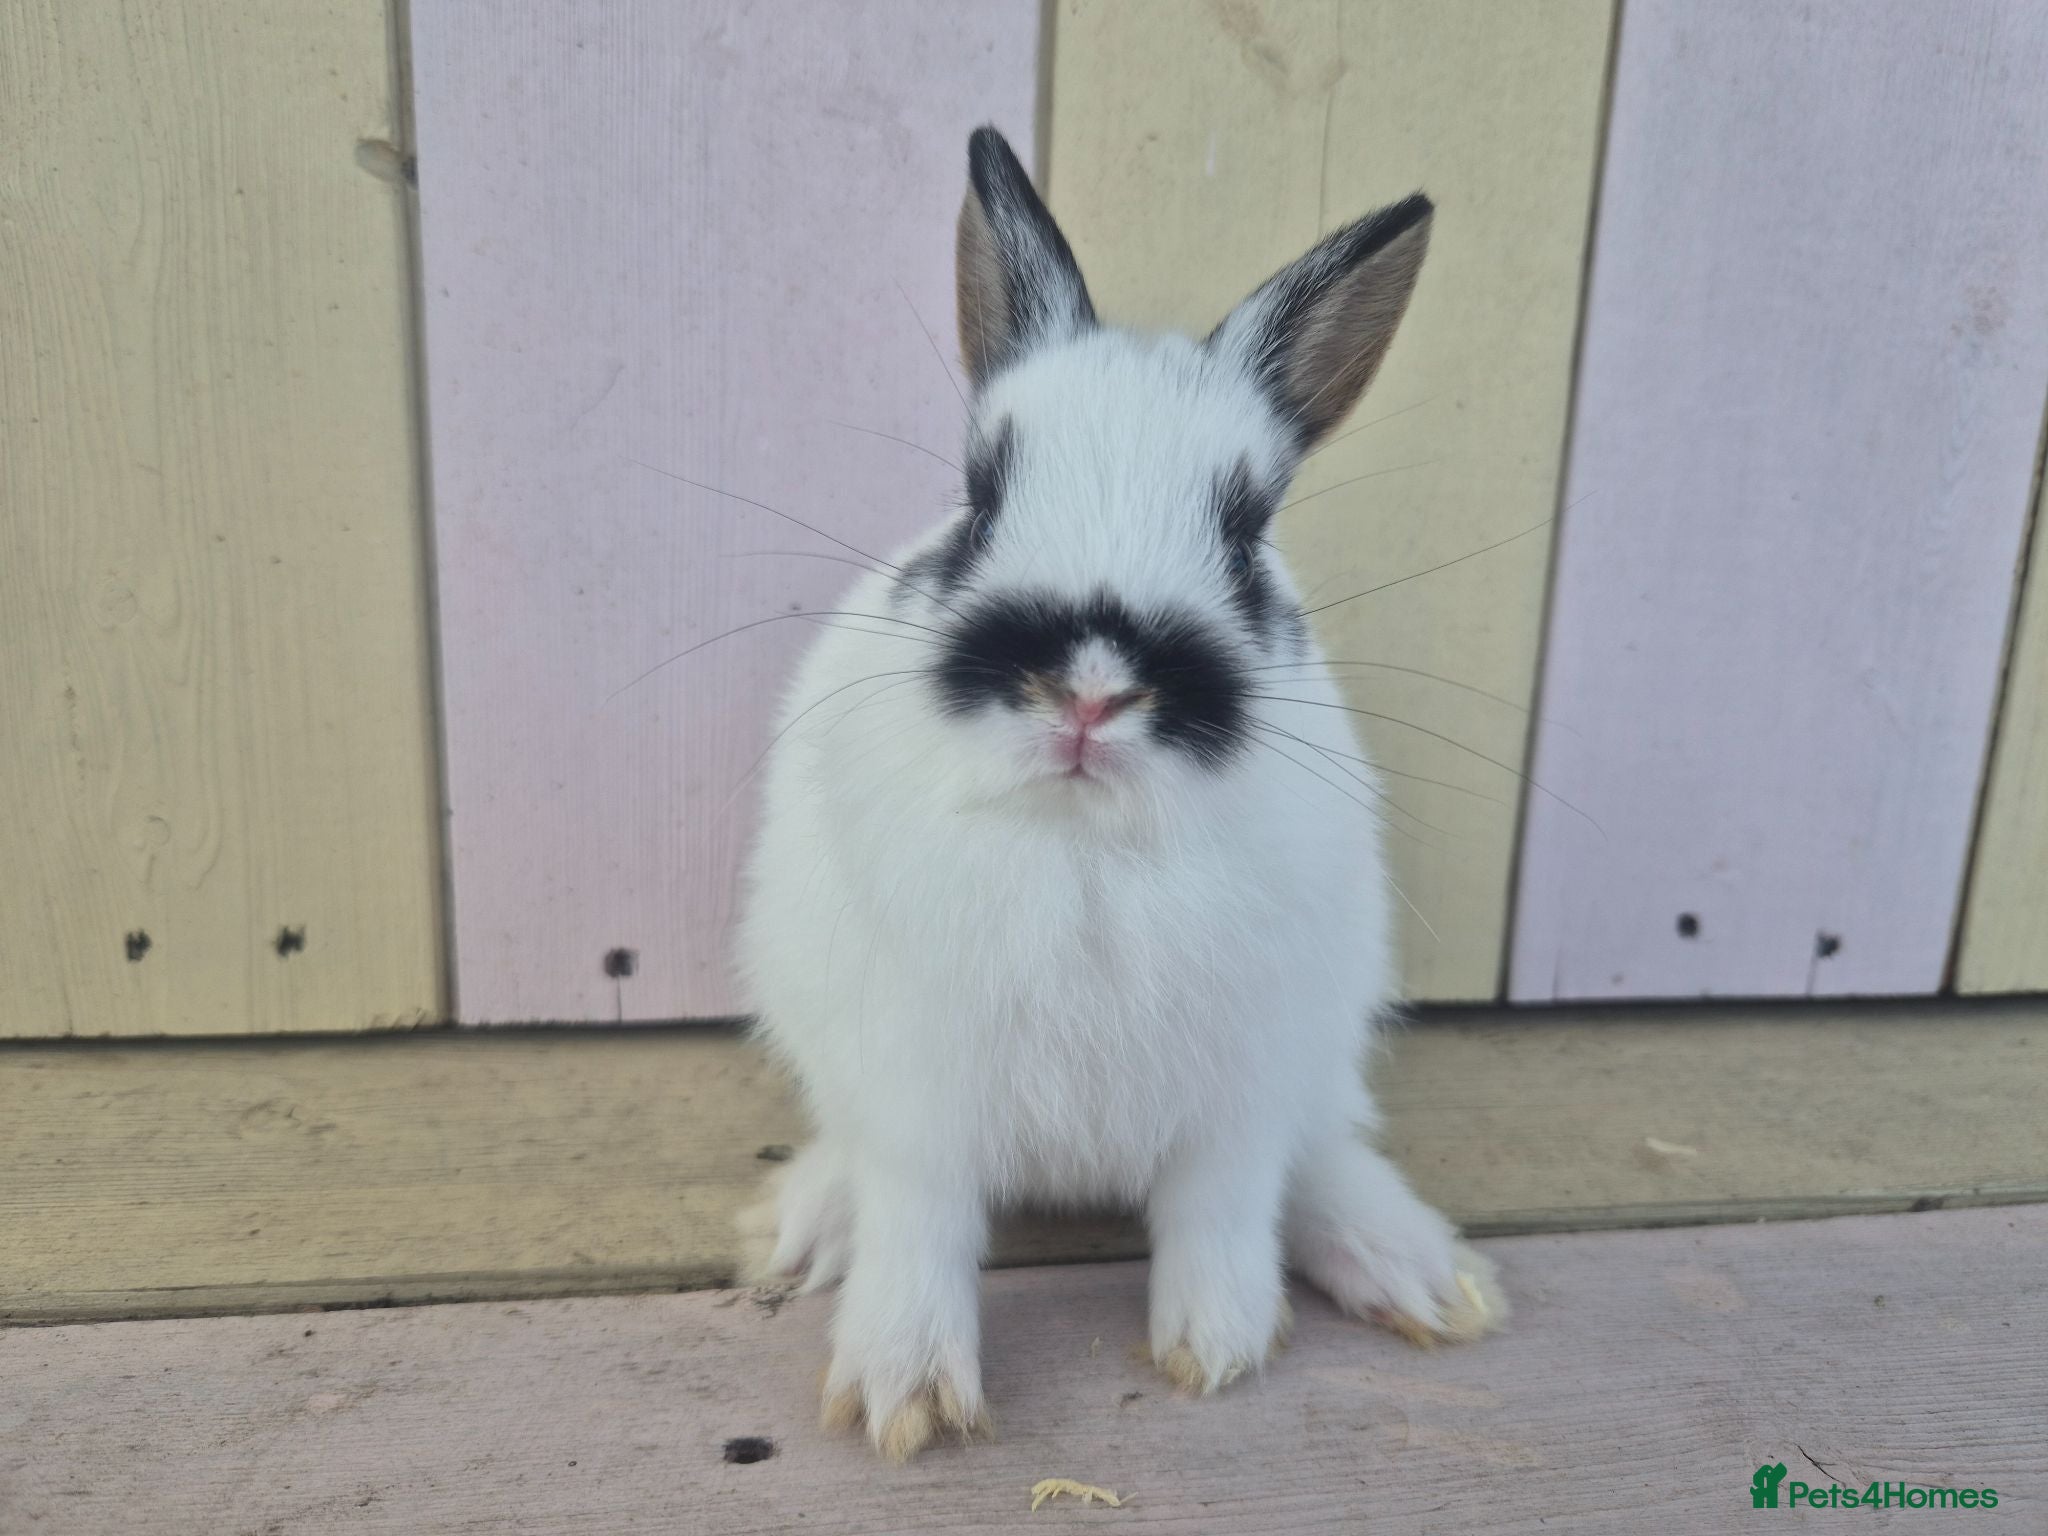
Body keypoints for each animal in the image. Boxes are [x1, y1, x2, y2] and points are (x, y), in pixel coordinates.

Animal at [737, 125, 1502, 1462]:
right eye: (978, 498)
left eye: (1246, 534)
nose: (1089, 688)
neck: (1084, 841)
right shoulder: (917, 1079)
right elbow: (918, 1222)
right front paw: (902, 1391)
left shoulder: (1238, 1079)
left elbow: (1221, 1209)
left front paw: (1219, 1346)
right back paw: (810, 1222)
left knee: (1316, 1151)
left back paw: (1409, 1269)